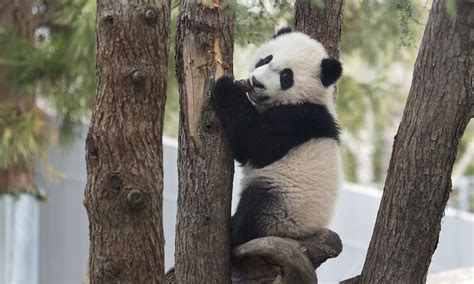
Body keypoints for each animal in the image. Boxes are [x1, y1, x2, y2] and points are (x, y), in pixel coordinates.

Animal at [211, 27, 340, 247]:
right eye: (266, 59)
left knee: (256, 203)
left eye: (286, 76)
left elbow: (254, 143)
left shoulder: (299, 120)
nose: (256, 83)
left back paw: (235, 232)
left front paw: (227, 86)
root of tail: (304, 234)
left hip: (286, 203)